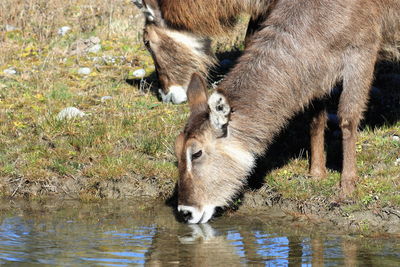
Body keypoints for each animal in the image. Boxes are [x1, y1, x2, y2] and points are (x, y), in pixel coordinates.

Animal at [175, 0, 400, 224]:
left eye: (196, 152)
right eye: (176, 148)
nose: (186, 211)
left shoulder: (363, 50)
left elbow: (348, 119)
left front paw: (346, 187)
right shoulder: (322, 70)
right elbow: (316, 118)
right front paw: (316, 173)